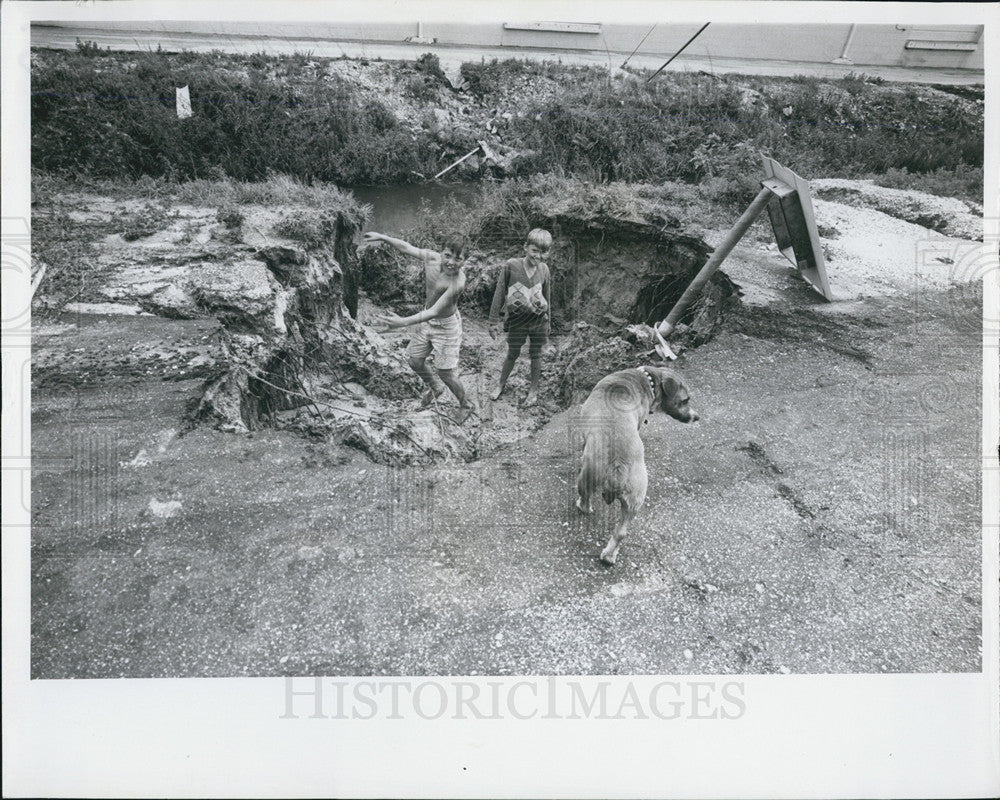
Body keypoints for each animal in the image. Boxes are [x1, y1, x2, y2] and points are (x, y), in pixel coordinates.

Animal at [576, 366, 700, 564]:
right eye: (685, 400)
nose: (696, 417)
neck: (646, 378)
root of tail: (619, 465)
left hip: (588, 475)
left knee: (585, 496)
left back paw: (583, 506)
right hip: (634, 500)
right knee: (621, 532)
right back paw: (610, 555)